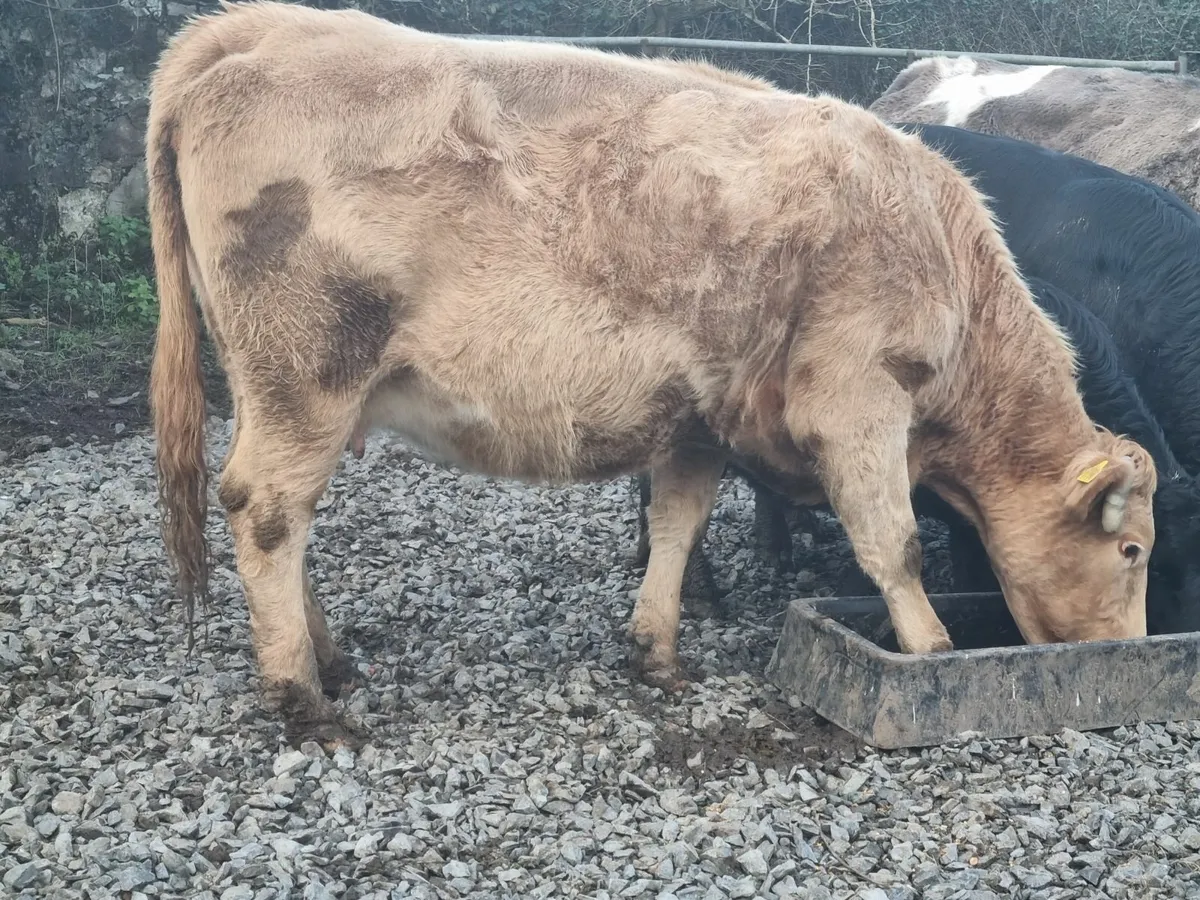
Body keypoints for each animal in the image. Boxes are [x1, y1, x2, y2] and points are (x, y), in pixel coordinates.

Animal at [146, 1, 1156, 748]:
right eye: (1134, 551)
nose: (1127, 650)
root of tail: (264, 28)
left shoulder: (700, 419)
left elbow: (677, 525)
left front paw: (658, 650)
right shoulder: (857, 402)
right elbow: (893, 545)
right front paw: (935, 654)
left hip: (286, 389)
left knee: (284, 520)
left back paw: (329, 659)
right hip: (307, 373)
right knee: (268, 511)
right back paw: (303, 698)